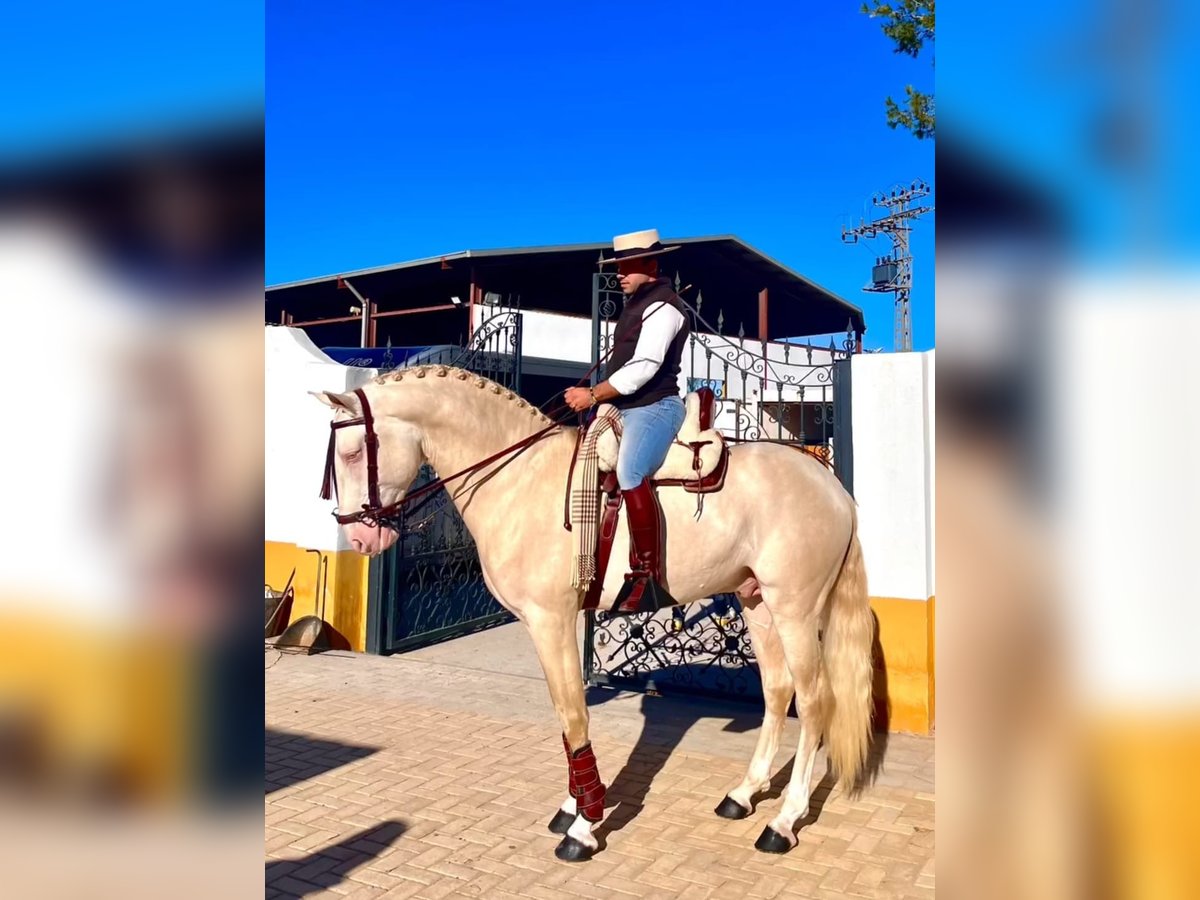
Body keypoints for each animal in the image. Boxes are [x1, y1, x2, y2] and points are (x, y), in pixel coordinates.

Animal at [312, 364, 873, 861]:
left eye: (354, 451)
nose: (359, 537)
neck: (521, 480)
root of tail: (830, 485)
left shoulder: (552, 620)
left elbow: (573, 713)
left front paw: (584, 825)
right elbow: (566, 719)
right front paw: (574, 806)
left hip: (795, 607)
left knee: (815, 701)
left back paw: (784, 821)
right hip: (755, 600)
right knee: (778, 690)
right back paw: (743, 794)